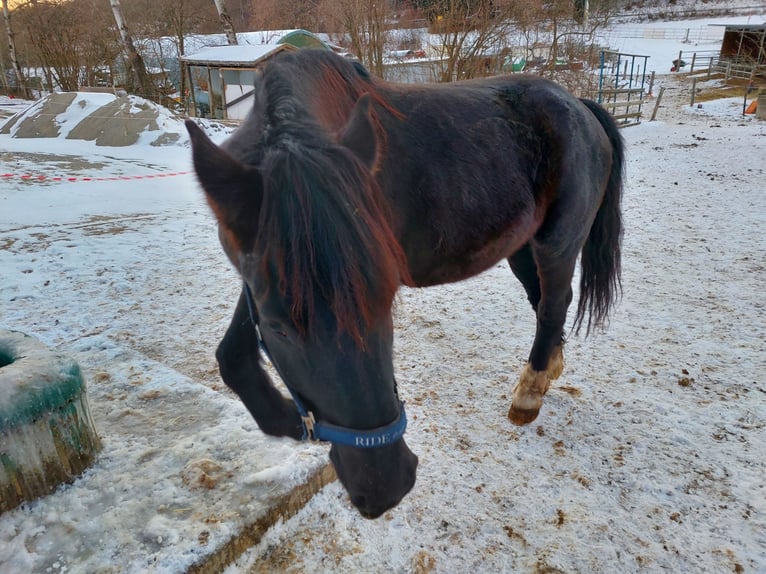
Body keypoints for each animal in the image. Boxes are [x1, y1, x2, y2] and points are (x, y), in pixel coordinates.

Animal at [186, 48, 624, 519]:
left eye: (387, 303)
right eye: (278, 327)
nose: (385, 484)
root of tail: (581, 108)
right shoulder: (257, 278)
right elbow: (233, 356)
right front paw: (288, 419)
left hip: (556, 243)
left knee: (554, 302)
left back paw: (529, 393)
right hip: (522, 248)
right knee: (544, 303)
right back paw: (549, 370)